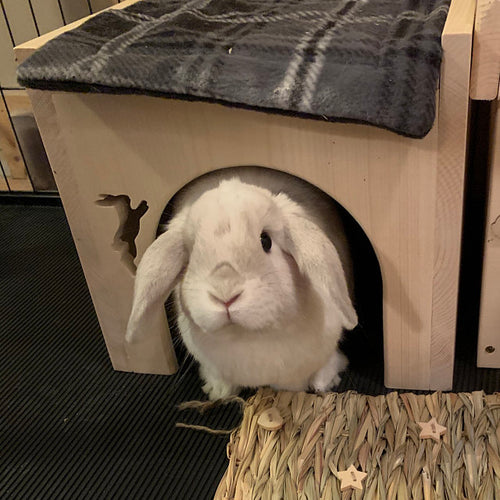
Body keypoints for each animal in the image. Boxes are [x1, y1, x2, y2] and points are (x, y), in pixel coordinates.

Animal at [127, 166, 358, 400]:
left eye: (266, 241)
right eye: (191, 254)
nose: (225, 296)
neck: (247, 337)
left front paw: (324, 383)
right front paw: (217, 392)